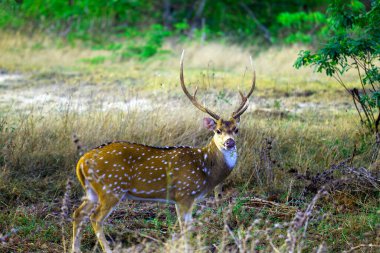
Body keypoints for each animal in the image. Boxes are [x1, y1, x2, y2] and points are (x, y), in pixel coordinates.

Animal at [71, 50, 255, 252]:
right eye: (218, 130)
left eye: (236, 130)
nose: (229, 142)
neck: (205, 170)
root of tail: (81, 161)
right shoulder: (184, 193)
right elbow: (186, 230)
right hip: (111, 188)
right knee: (95, 218)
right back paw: (108, 248)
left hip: (92, 190)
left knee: (77, 213)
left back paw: (75, 248)